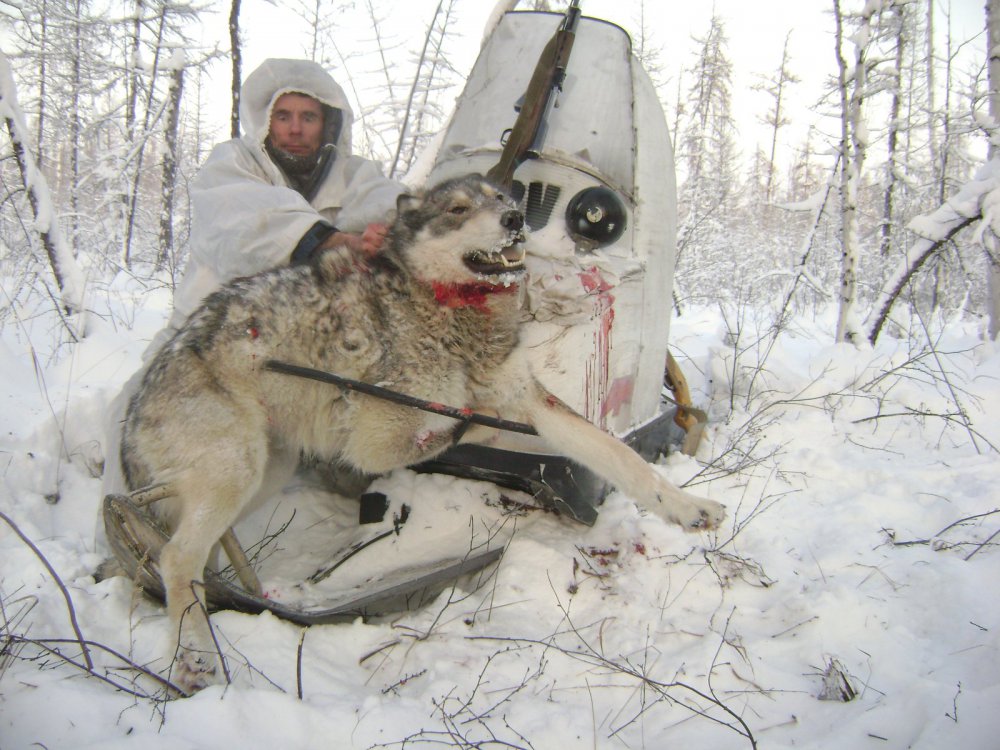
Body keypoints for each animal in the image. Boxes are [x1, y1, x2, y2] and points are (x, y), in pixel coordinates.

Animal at [119, 174, 725, 693]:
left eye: (503, 198)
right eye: (457, 210)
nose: (515, 219)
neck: (449, 306)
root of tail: (140, 397)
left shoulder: (527, 396)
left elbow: (618, 455)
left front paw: (688, 508)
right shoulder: (377, 435)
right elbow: (460, 419)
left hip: (264, 473)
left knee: (196, 548)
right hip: (238, 471)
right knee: (176, 557)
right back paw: (197, 657)